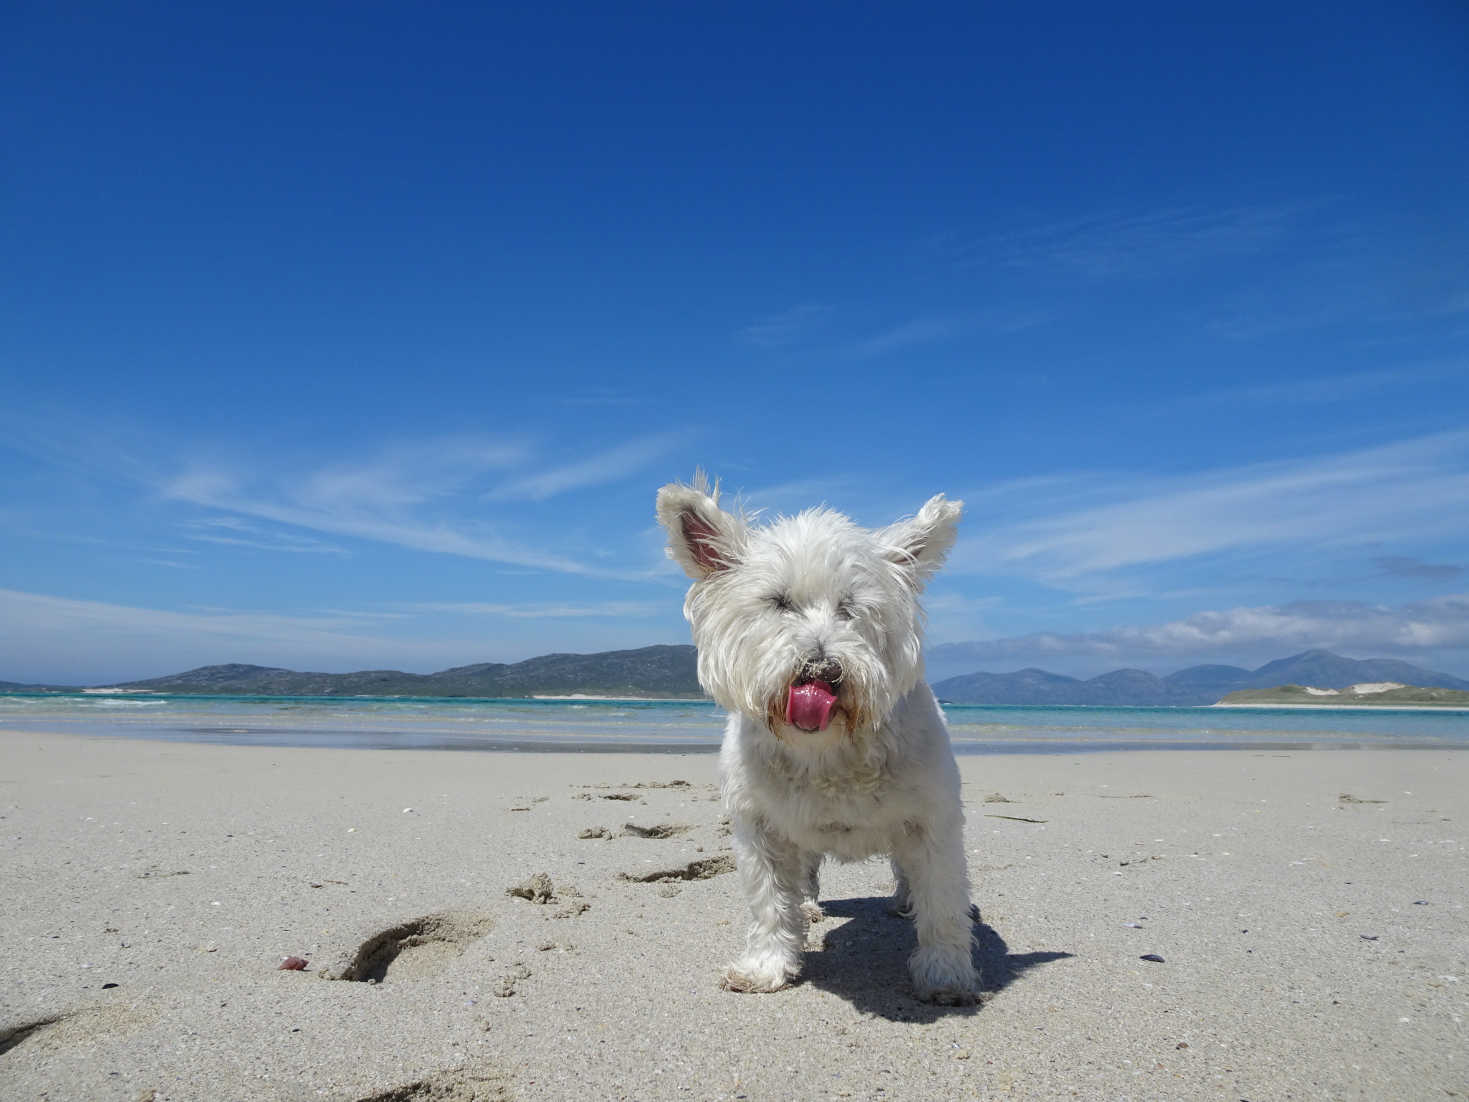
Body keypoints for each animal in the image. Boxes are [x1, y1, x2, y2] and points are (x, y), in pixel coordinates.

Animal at [661, 476, 981, 1010]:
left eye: (851, 608)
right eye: (778, 602)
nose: (823, 668)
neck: (827, 754)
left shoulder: (933, 819)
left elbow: (942, 902)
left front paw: (946, 975)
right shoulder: (761, 828)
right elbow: (771, 903)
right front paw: (766, 967)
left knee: (906, 872)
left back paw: (903, 900)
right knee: (805, 874)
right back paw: (808, 906)